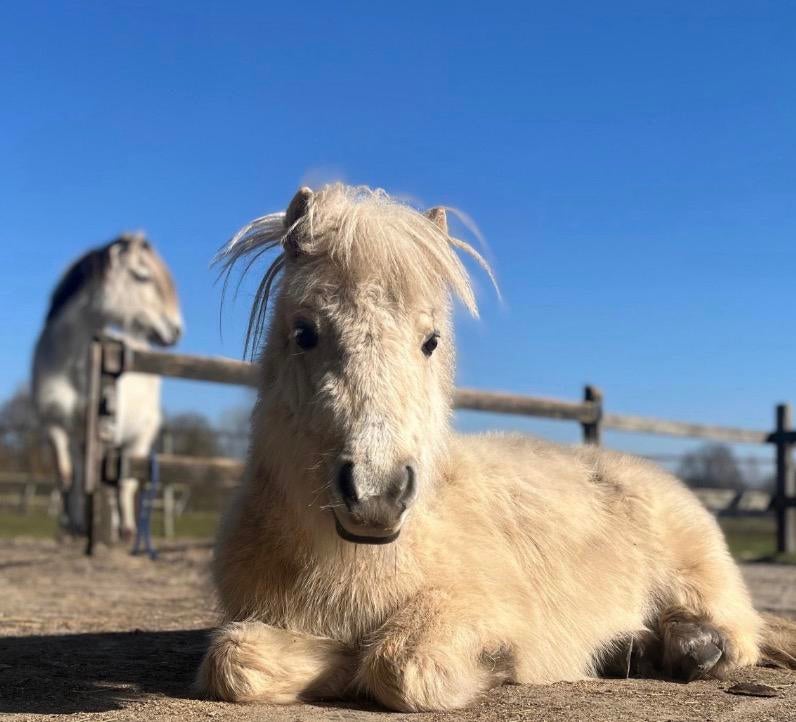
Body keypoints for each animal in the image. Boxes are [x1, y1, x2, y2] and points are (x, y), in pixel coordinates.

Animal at [32, 232, 182, 538]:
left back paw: (125, 529)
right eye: (141, 276)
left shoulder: (101, 429)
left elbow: (106, 482)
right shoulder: (55, 426)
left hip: (138, 437)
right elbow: (67, 475)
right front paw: (71, 526)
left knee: (125, 482)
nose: (175, 330)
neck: (71, 364)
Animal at [197, 184, 796, 711]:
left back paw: (694, 647)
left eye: (431, 341)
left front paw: (493, 662)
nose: (376, 495)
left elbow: (400, 663)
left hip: (699, 577)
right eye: (304, 332)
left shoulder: (479, 604)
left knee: (741, 630)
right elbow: (236, 662)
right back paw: (637, 650)